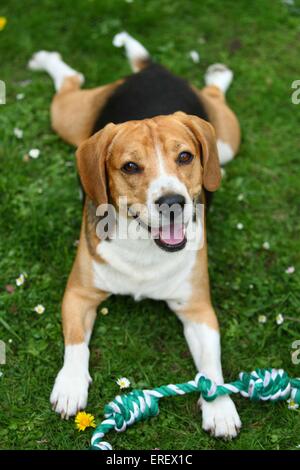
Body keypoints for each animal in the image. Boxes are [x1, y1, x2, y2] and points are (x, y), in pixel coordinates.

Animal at [28, 33, 241, 440]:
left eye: (185, 157)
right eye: (130, 166)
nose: (172, 202)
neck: (146, 248)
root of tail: (154, 71)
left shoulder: (199, 311)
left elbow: (212, 367)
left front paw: (220, 407)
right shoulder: (79, 294)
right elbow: (76, 344)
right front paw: (71, 384)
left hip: (225, 146)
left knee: (214, 96)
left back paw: (219, 75)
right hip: (68, 118)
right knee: (69, 81)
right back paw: (47, 59)